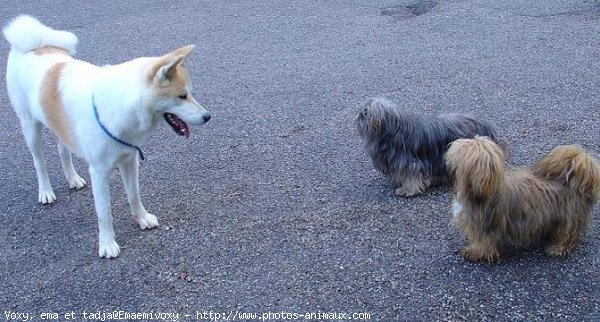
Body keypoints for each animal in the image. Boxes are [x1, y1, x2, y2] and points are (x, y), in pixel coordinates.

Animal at [2, 15, 211, 260]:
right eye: (182, 96)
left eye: (190, 94)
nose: (207, 116)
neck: (123, 106)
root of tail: (34, 44)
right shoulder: (99, 172)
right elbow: (105, 212)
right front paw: (107, 243)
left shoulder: (129, 160)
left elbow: (134, 195)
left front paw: (142, 218)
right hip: (30, 127)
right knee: (39, 163)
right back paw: (45, 191)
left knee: (62, 149)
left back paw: (73, 178)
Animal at [356, 95, 502, 196]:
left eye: (366, 112)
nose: (359, 116)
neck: (393, 134)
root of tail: (487, 126)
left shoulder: (411, 163)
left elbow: (412, 177)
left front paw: (408, 189)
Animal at [446, 137, 600, 262]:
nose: (449, 169)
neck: (486, 192)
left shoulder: (484, 228)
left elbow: (483, 243)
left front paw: (475, 252)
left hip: (569, 218)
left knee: (568, 236)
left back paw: (558, 248)